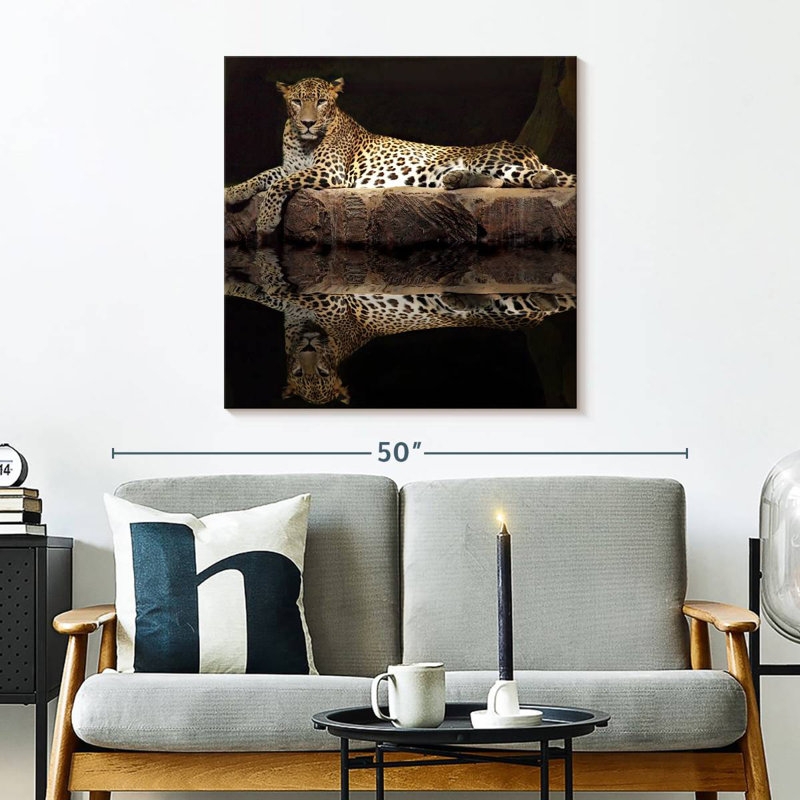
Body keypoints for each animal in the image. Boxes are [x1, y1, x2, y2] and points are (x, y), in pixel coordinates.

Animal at [224, 77, 576, 239]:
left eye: (322, 102)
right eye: (297, 102)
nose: (308, 122)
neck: (302, 141)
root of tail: (528, 149)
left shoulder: (330, 172)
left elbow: (278, 186)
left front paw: (267, 220)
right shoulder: (289, 166)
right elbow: (263, 176)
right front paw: (232, 193)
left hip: (489, 158)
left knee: (521, 177)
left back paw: (540, 177)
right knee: (498, 181)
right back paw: (455, 179)